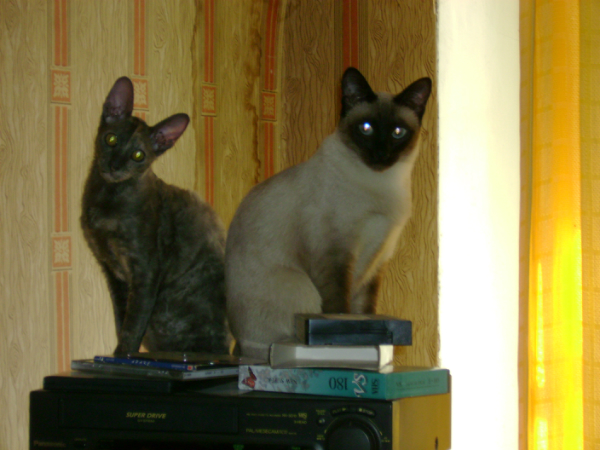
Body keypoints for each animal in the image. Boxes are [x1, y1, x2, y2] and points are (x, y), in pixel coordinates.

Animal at [81, 76, 229, 355]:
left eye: (138, 155)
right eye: (111, 139)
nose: (115, 166)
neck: (106, 198)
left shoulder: (146, 270)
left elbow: (133, 322)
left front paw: (123, 354)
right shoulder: (112, 271)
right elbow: (121, 319)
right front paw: (120, 356)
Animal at [225, 67, 432, 359]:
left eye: (398, 132)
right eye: (366, 128)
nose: (381, 154)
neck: (381, 185)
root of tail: (238, 348)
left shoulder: (376, 261)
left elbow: (364, 310)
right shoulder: (335, 253)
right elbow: (339, 309)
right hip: (301, 288)